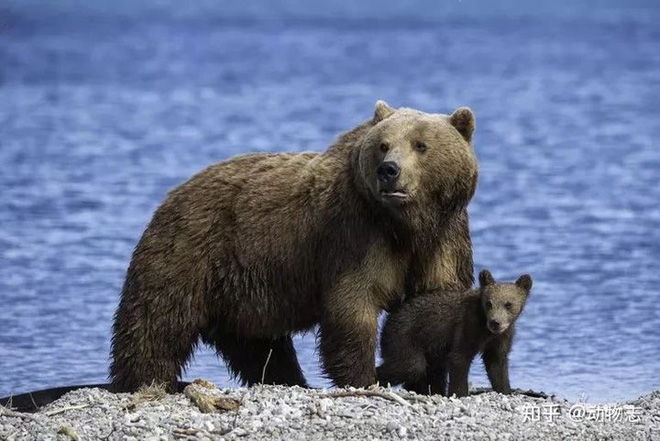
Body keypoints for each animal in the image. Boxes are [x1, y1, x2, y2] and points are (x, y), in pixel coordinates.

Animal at [109, 101, 480, 390]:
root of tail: (172, 195)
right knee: (156, 323)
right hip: (190, 253)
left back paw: (288, 380)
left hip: (242, 290)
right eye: (383, 145)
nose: (389, 170)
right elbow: (353, 305)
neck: (406, 223)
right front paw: (363, 377)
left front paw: (428, 379)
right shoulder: (355, 236)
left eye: (421, 145)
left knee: (258, 345)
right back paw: (145, 379)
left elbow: (434, 302)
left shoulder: (445, 236)